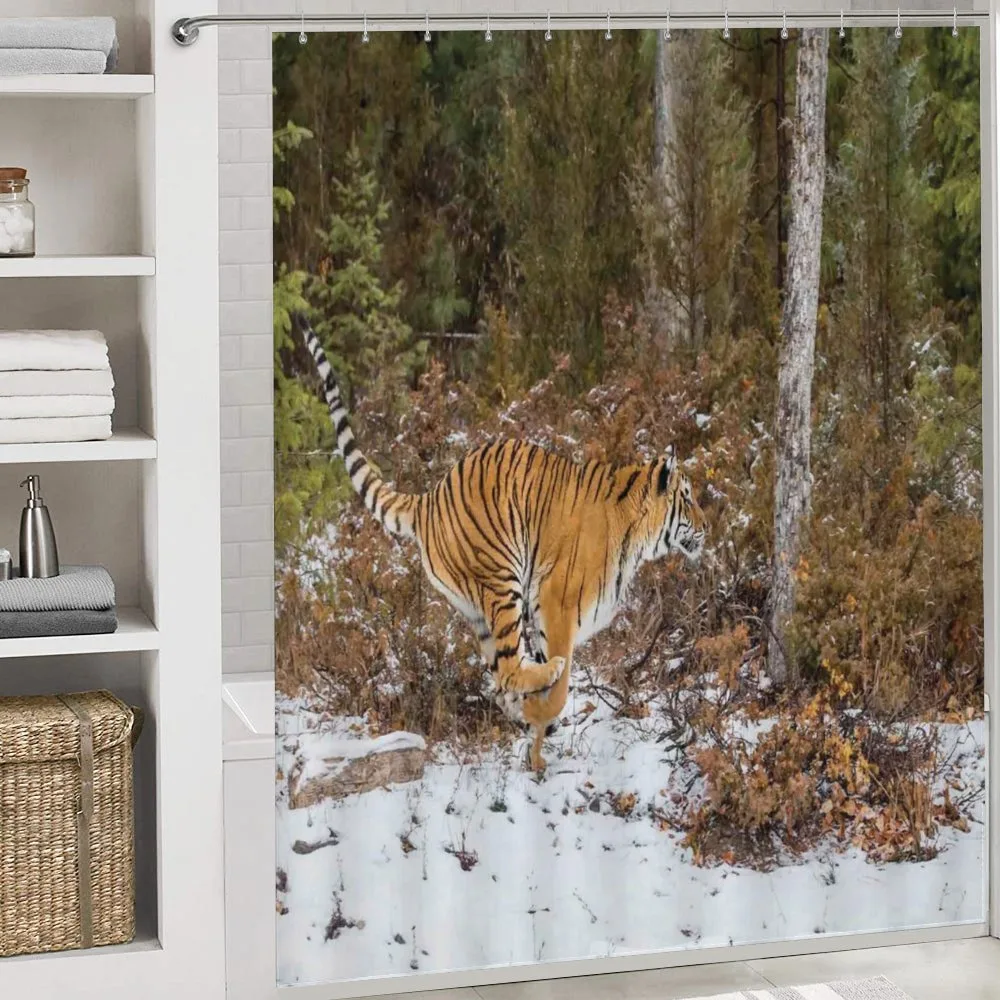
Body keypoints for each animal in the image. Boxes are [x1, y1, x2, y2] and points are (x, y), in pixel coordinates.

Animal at [296, 315, 706, 771]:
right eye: (688, 498)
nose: (708, 525)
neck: (636, 533)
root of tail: (429, 497)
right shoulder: (556, 601)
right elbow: (560, 681)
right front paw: (544, 717)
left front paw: (537, 752)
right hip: (502, 579)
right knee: (510, 671)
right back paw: (536, 689)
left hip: (478, 609)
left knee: (499, 674)